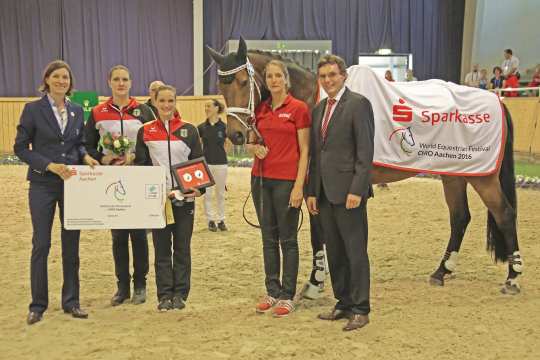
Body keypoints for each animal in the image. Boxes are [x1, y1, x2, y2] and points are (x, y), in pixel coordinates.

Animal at [206, 37, 524, 296]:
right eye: (221, 86)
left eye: (243, 82)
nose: (236, 134)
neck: (317, 99)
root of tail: (496, 100)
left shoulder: (314, 188)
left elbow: (318, 234)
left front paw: (315, 282)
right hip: (454, 175)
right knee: (460, 218)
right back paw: (441, 272)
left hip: (483, 179)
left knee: (505, 214)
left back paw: (513, 278)